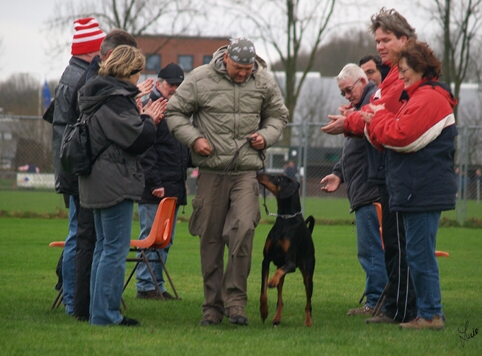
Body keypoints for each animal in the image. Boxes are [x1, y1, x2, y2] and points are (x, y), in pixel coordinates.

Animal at [256, 172, 316, 326]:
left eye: (278, 178)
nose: (258, 173)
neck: (285, 219)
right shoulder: (266, 260)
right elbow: (263, 291)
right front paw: (263, 311)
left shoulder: (290, 263)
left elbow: (277, 274)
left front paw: (271, 281)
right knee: (280, 299)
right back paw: (277, 317)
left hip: (308, 274)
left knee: (308, 302)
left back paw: (308, 322)